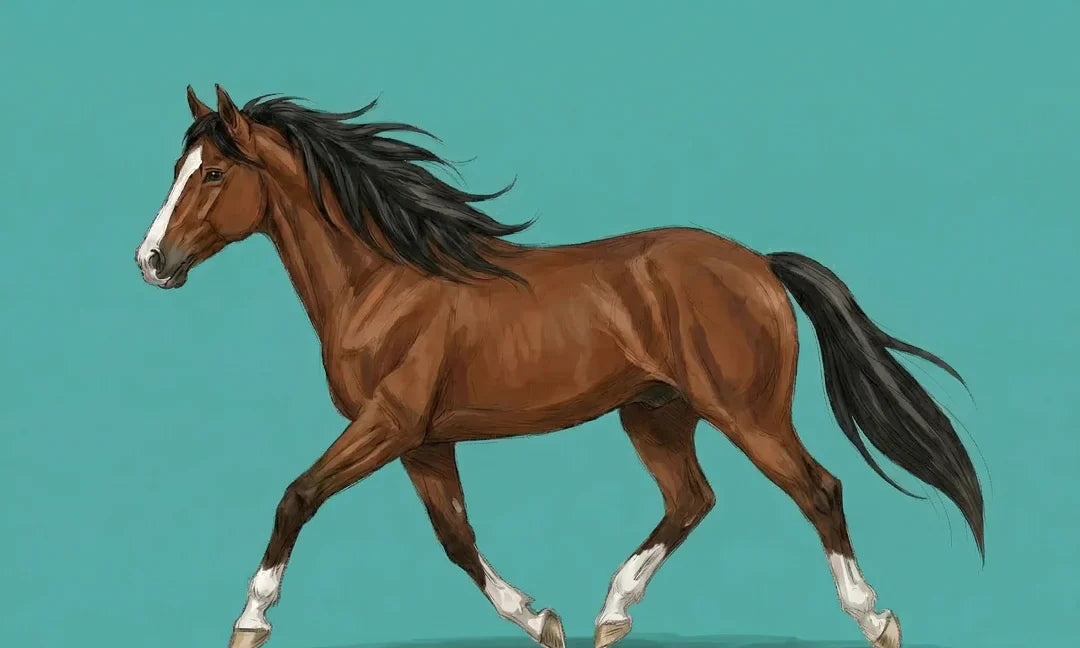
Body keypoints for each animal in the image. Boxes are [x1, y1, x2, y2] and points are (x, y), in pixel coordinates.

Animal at [134, 85, 983, 648]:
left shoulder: (388, 424)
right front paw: (543, 619)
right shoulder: (424, 440)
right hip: (654, 413)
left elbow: (297, 496)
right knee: (693, 500)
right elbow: (455, 539)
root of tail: (760, 265)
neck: (383, 280)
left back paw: (876, 619)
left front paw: (250, 621)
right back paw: (611, 615)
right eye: (179, 165)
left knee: (818, 489)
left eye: (213, 173)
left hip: (746, 412)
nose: (151, 263)